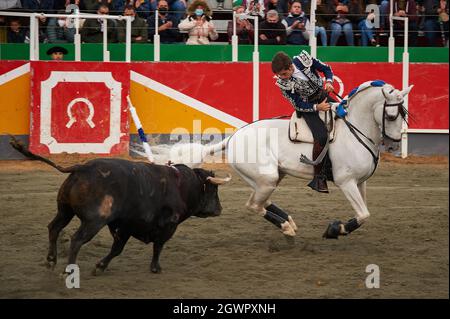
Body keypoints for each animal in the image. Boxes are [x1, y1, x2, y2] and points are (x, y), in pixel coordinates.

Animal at [8, 139, 230, 276]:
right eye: (214, 190)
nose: (219, 209)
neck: (182, 185)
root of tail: (82, 168)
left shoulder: (124, 225)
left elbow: (117, 248)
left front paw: (100, 266)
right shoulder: (167, 226)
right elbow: (157, 246)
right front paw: (155, 268)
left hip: (65, 210)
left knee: (54, 228)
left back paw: (51, 260)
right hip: (94, 221)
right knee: (77, 239)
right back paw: (68, 270)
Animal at [161, 81, 412, 239]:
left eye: (404, 113)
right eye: (391, 115)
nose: (394, 146)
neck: (354, 129)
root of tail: (233, 138)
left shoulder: (361, 182)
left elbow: (364, 214)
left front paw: (336, 227)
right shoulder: (346, 181)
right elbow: (363, 214)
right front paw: (334, 230)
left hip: (267, 178)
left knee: (260, 202)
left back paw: (289, 222)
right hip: (267, 177)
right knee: (254, 205)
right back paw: (286, 227)